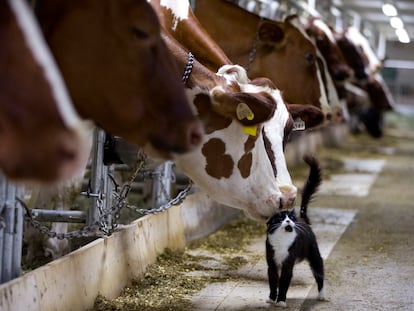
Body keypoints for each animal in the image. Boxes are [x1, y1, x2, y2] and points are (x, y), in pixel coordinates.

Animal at [266, 156, 326, 308]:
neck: (282, 240)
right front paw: (271, 298)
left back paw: (322, 296)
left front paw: (281, 301)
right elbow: (273, 282)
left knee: (320, 273)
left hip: (314, 255)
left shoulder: (288, 264)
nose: (288, 220)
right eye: (280, 218)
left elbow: (283, 283)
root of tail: (303, 219)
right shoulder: (272, 263)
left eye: (291, 218)